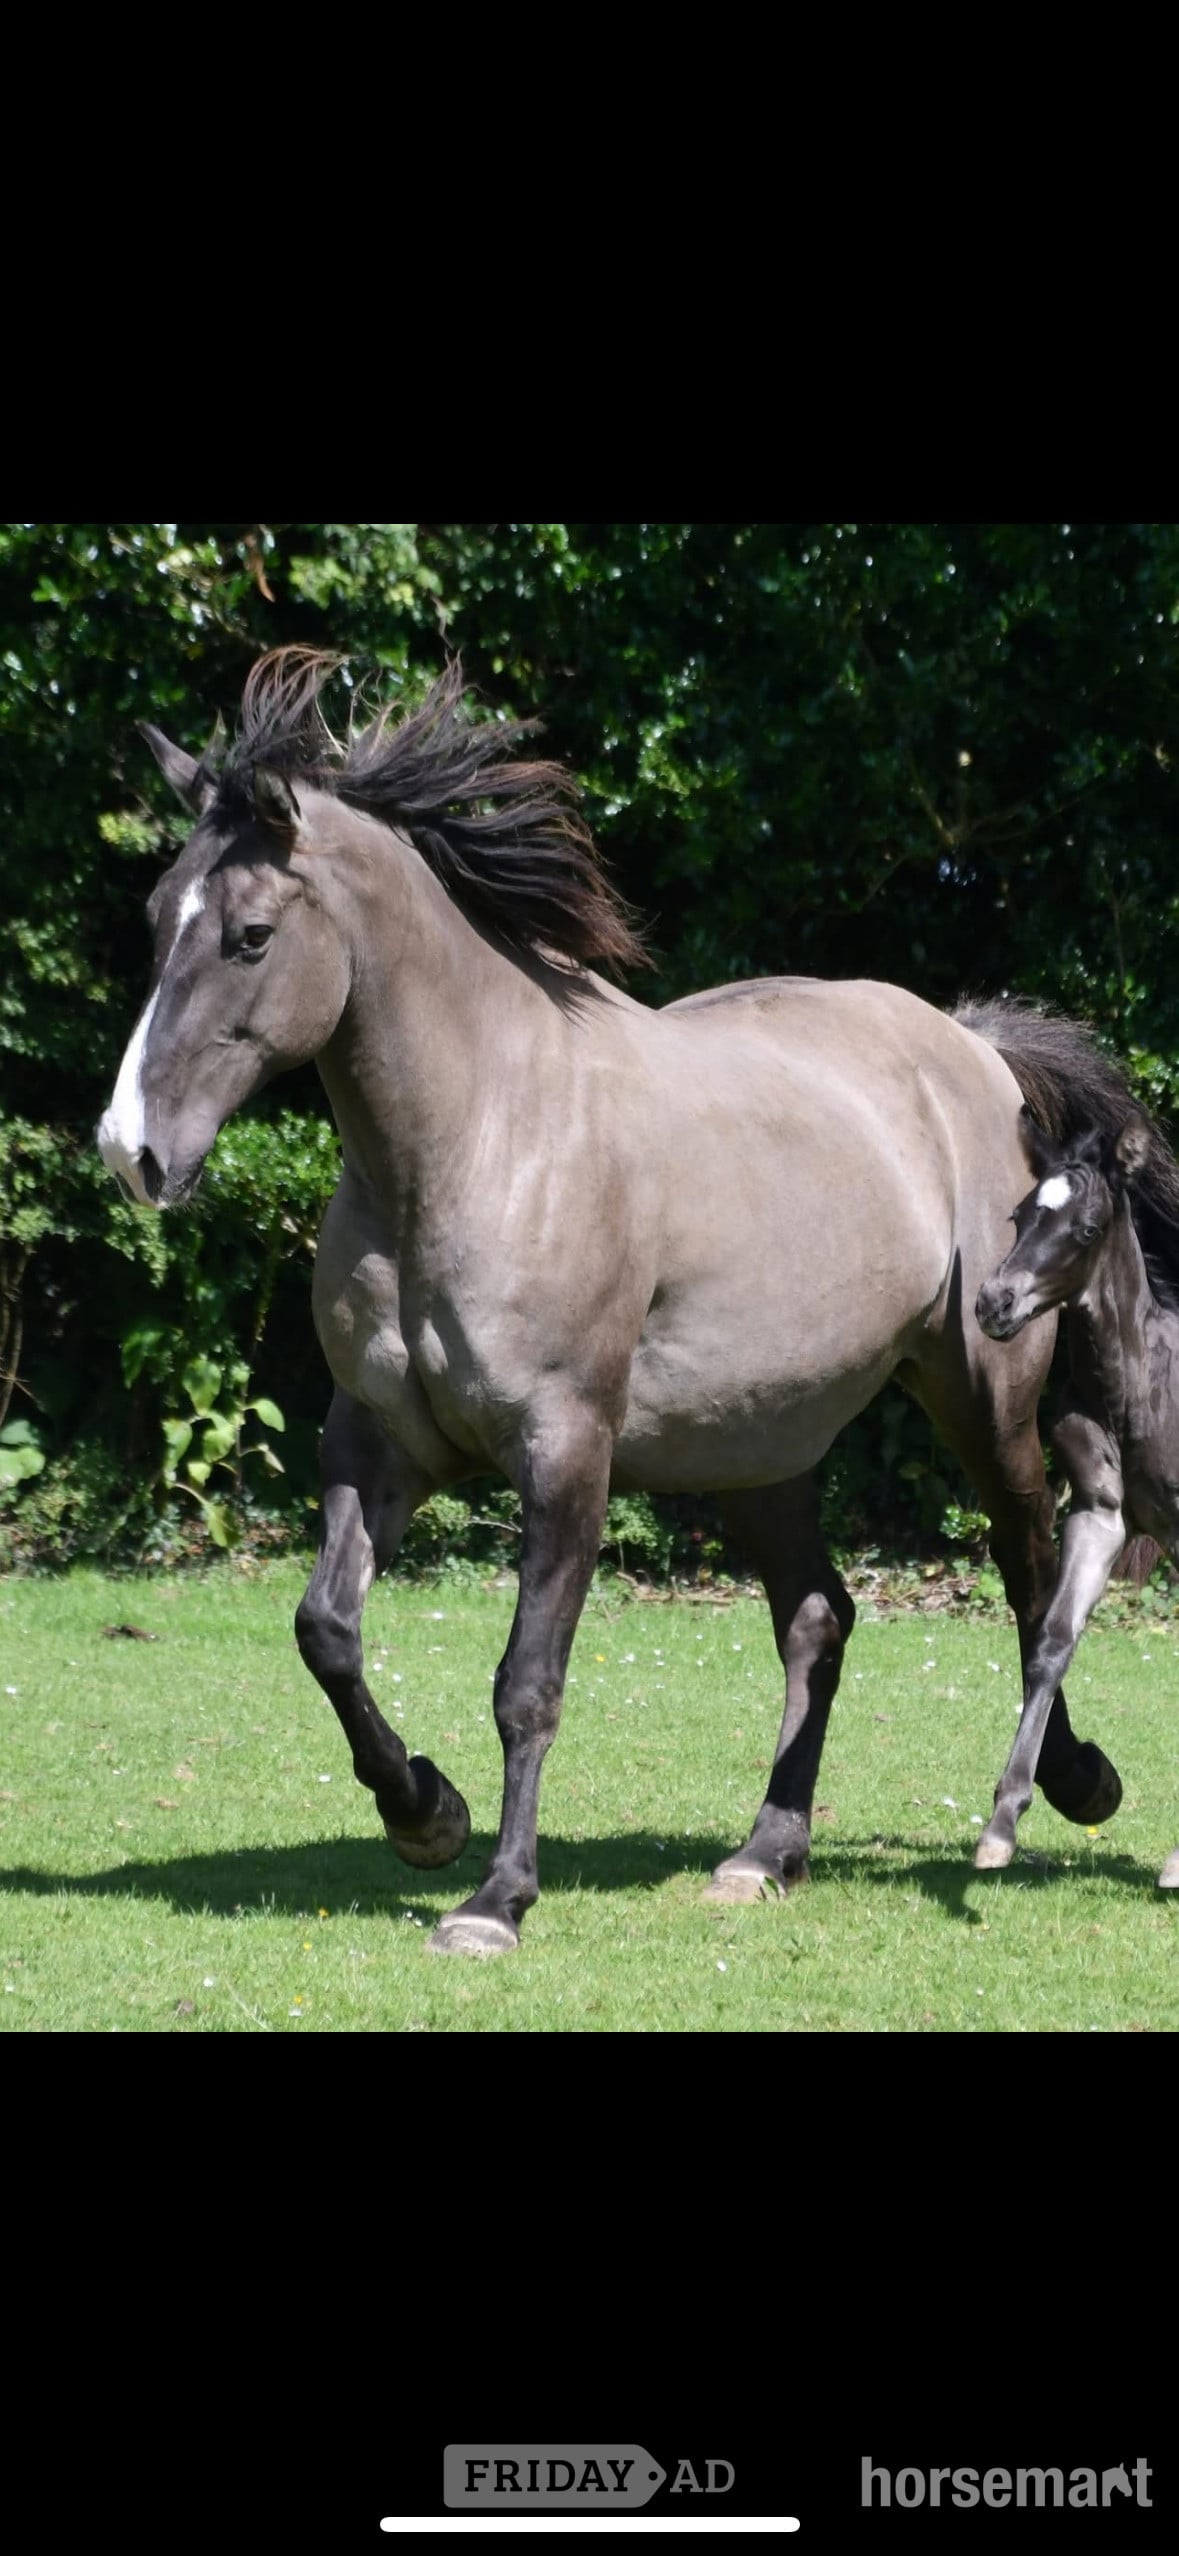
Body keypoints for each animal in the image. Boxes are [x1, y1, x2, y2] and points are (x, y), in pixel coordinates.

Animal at [96, 648, 1128, 1955]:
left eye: (249, 936)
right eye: (154, 920)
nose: (131, 1151)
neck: (478, 1139)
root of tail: (970, 1047)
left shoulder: (564, 1449)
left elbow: (527, 1684)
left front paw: (495, 1898)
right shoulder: (377, 1440)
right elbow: (325, 1631)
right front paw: (423, 1812)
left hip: (979, 1398)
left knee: (1030, 1572)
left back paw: (1074, 1783)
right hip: (758, 1443)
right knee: (820, 1618)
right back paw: (766, 1851)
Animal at [975, 1105, 1179, 1887]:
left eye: (1087, 1229)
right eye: (1019, 1214)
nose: (992, 1302)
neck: (1137, 1391)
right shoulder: (1099, 1517)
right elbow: (1051, 1642)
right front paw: (1000, 1827)